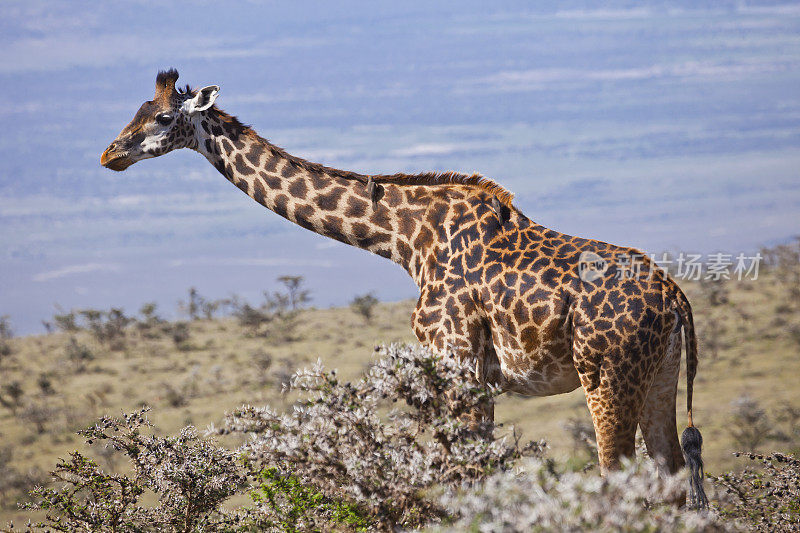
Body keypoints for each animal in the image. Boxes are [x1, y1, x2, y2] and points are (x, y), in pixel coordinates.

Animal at [100, 70, 708, 508]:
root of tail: (673, 297)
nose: (110, 154)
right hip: (658, 375)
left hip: (605, 375)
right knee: (672, 476)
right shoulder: (472, 372)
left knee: (620, 474)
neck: (404, 240)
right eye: (135, 111)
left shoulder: (458, 360)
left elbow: (470, 477)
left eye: (160, 117)